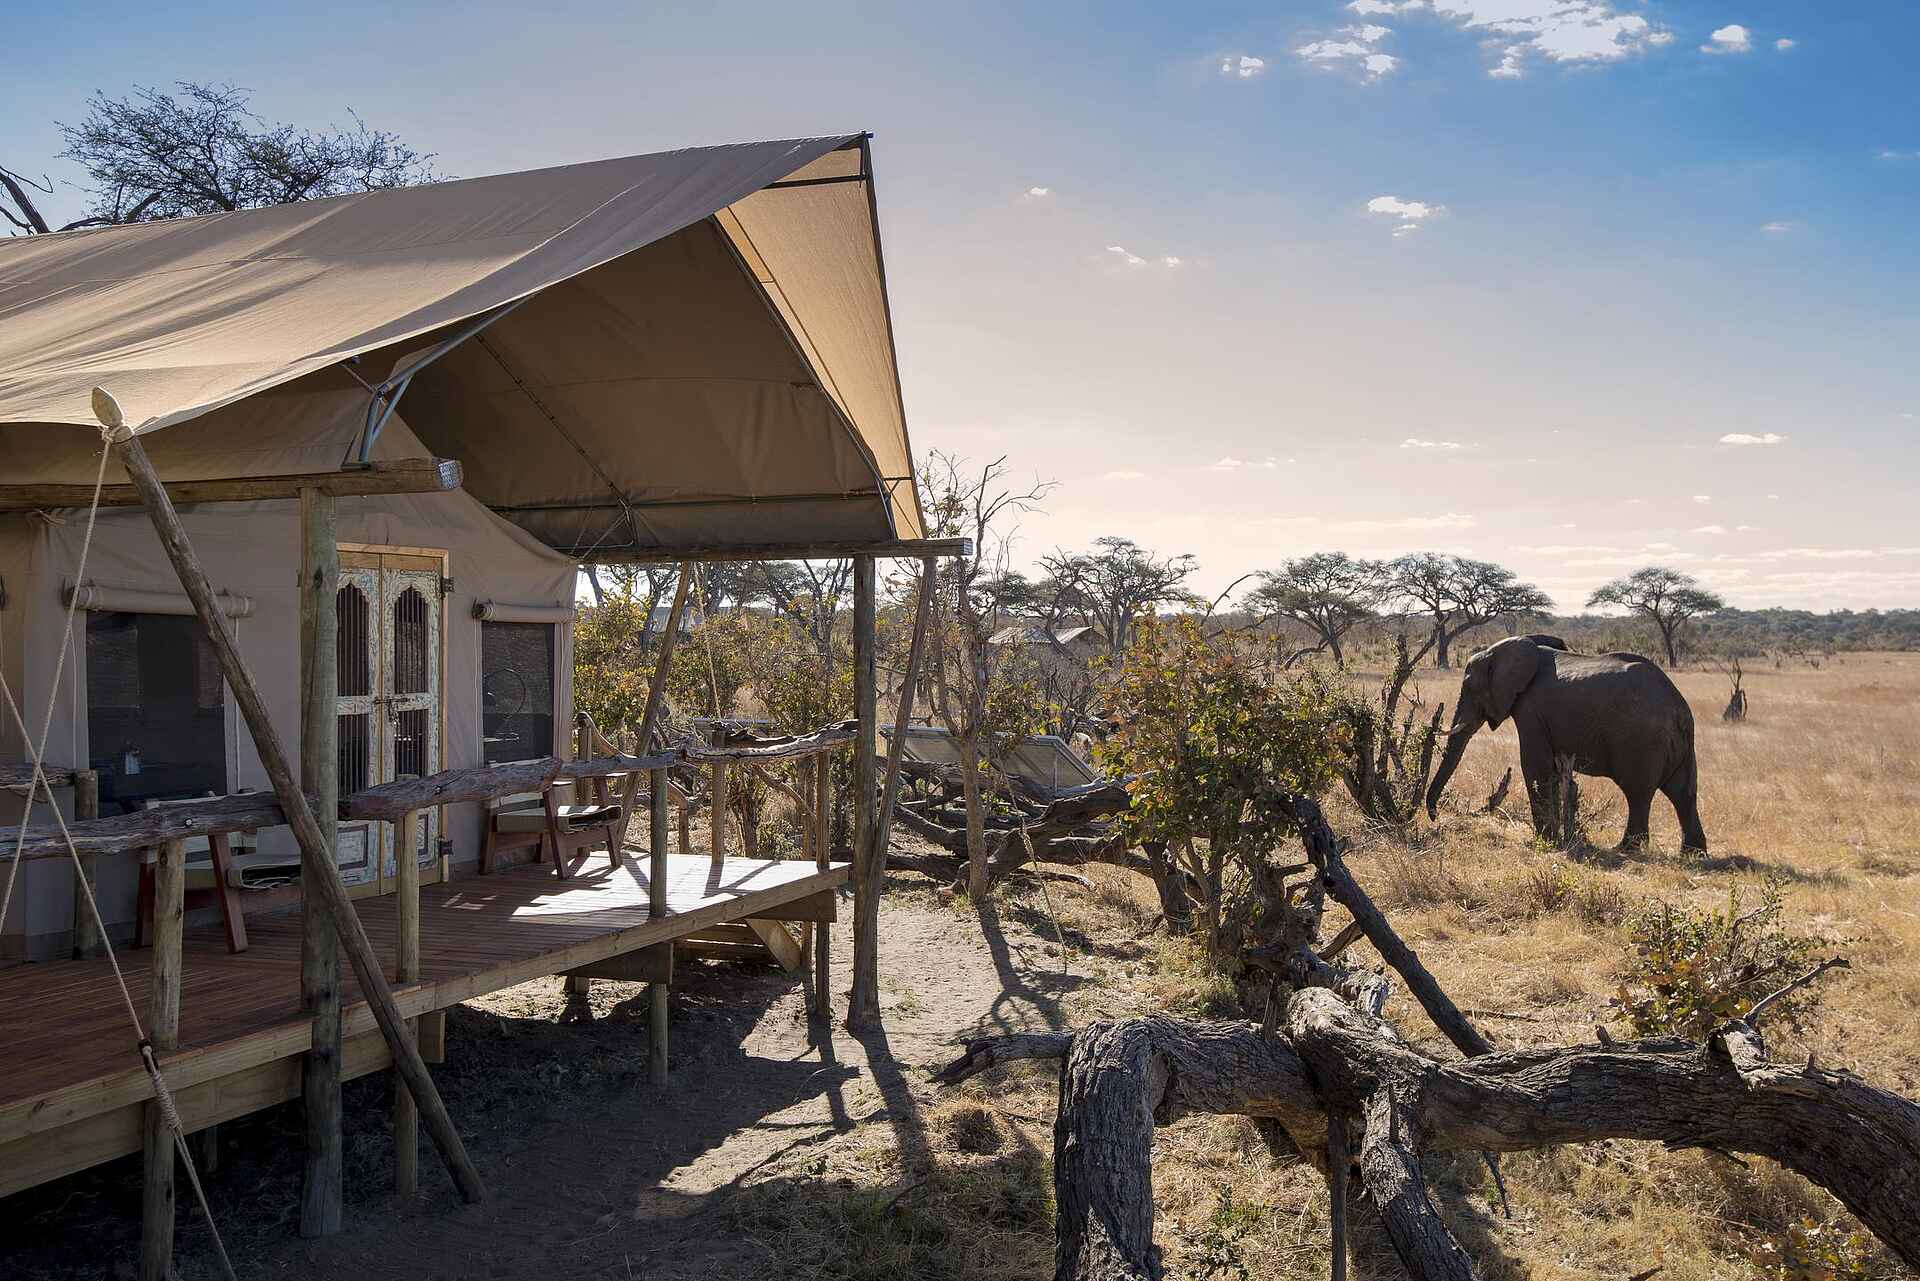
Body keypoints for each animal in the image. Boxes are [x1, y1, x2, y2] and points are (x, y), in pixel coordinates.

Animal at [1425, 635, 1707, 853]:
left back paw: (1625, 849)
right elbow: (1550, 769)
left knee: (1638, 793)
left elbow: (1535, 765)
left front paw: (1544, 841)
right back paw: (1693, 854)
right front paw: (1552, 838)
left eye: (1469, 686)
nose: (1434, 816)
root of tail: (1679, 709)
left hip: (1641, 740)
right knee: (1683, 792)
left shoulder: (1532, 710)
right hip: (1679, 744)